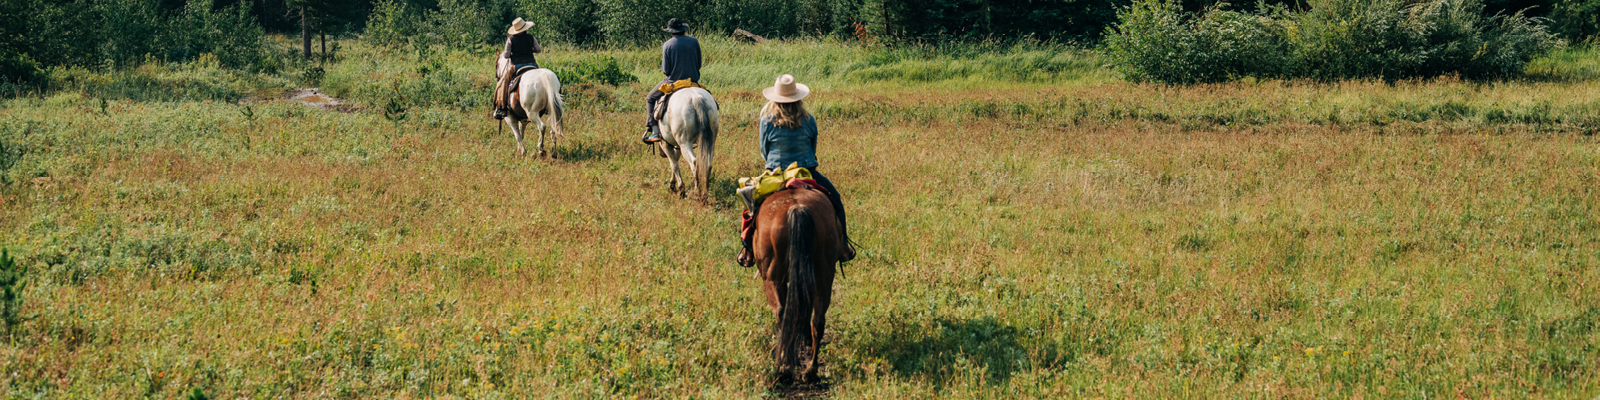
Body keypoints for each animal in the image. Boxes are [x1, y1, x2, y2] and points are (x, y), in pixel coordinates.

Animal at [752, 187, 844, 380]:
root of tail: (797, 208)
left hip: (771, 277)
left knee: (781, 312)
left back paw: (785, 366)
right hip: (824, 274)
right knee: (818, 320)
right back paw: (810, 370)